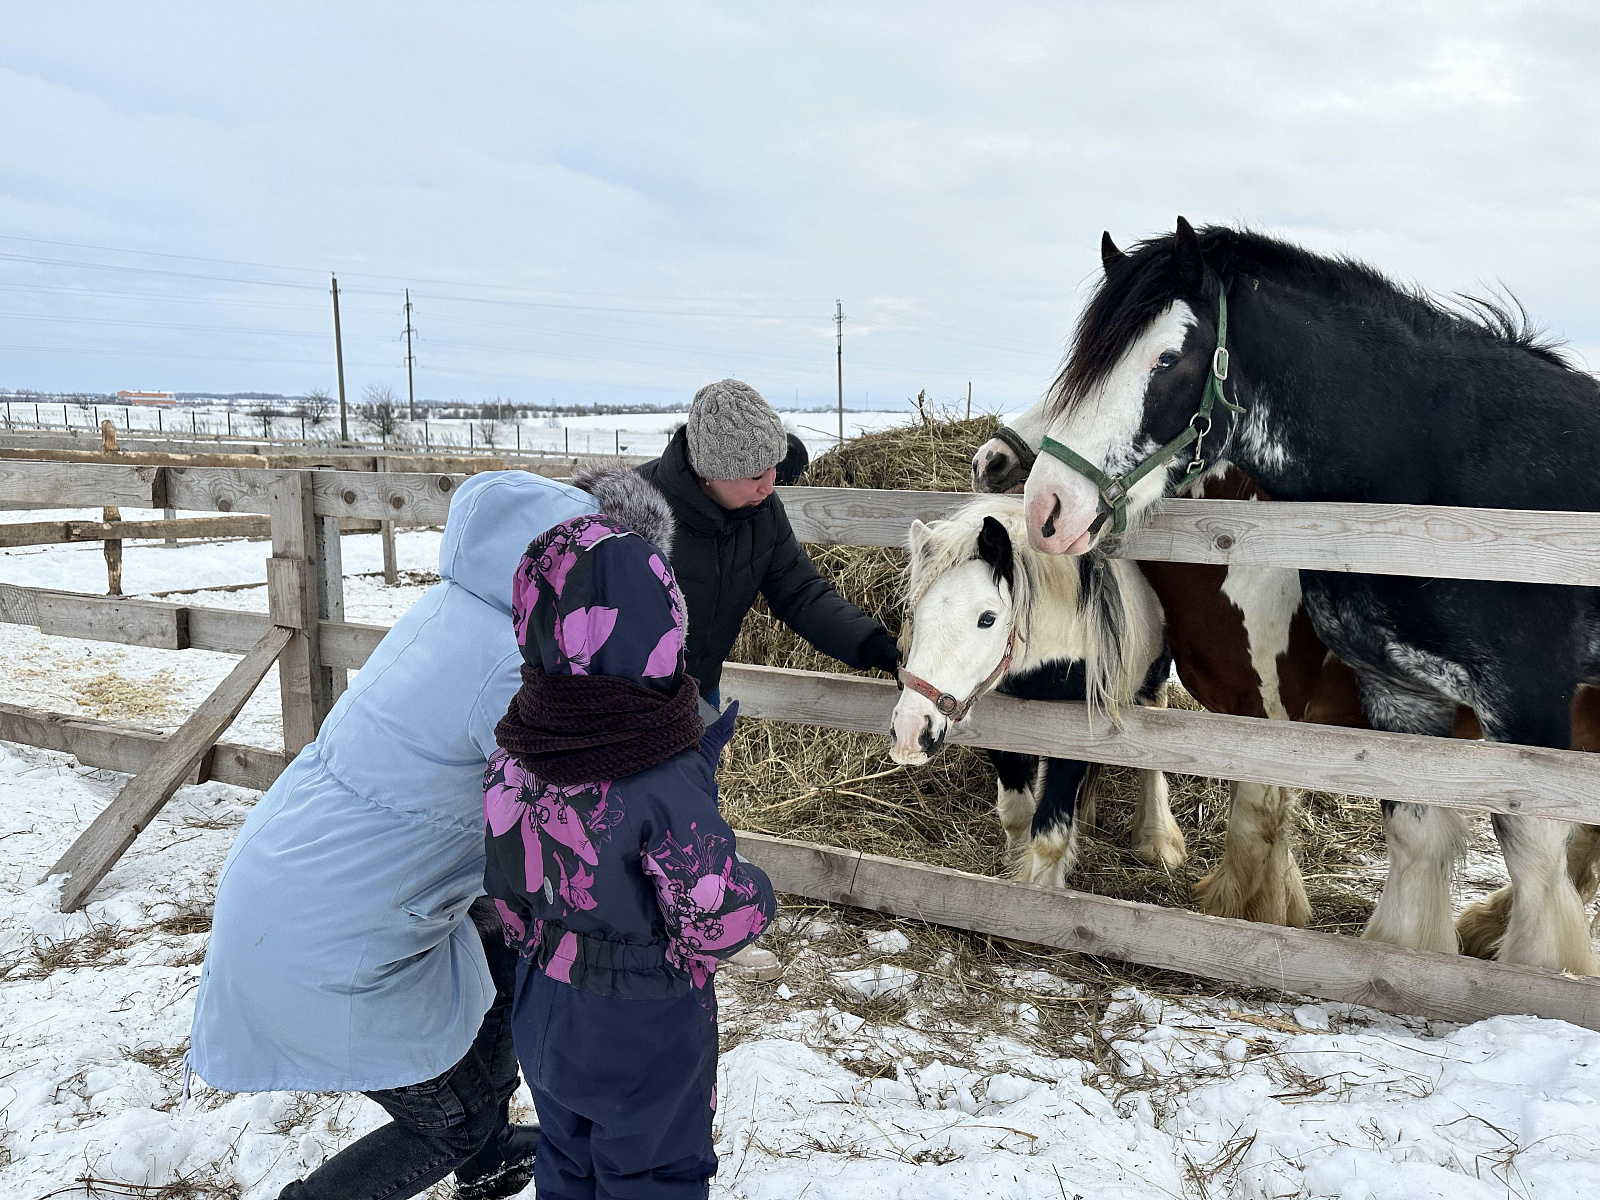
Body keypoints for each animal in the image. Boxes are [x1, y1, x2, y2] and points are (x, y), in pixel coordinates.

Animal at [1024, 220, 1600, 979]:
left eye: (1167, 357)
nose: (1046, 506)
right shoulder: (1400, 695)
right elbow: (1413, 838)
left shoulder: (1525, 701)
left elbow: (1535, 856)